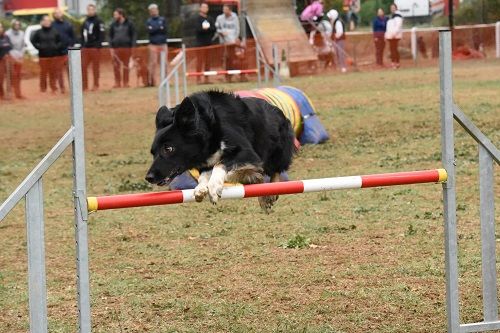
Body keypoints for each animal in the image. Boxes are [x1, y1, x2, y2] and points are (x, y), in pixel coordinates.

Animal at [145, 89, 294, 211]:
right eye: (153, 152)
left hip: (275, 151)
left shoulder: (246, 152)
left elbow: (219, 164)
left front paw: (213, 187)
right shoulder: (206, 159)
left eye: (168, 149)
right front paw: (201, 188)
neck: (209, 126)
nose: (149, 177)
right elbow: (204, 174)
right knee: (257, 177)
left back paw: (269, 194)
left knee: (275, 171)